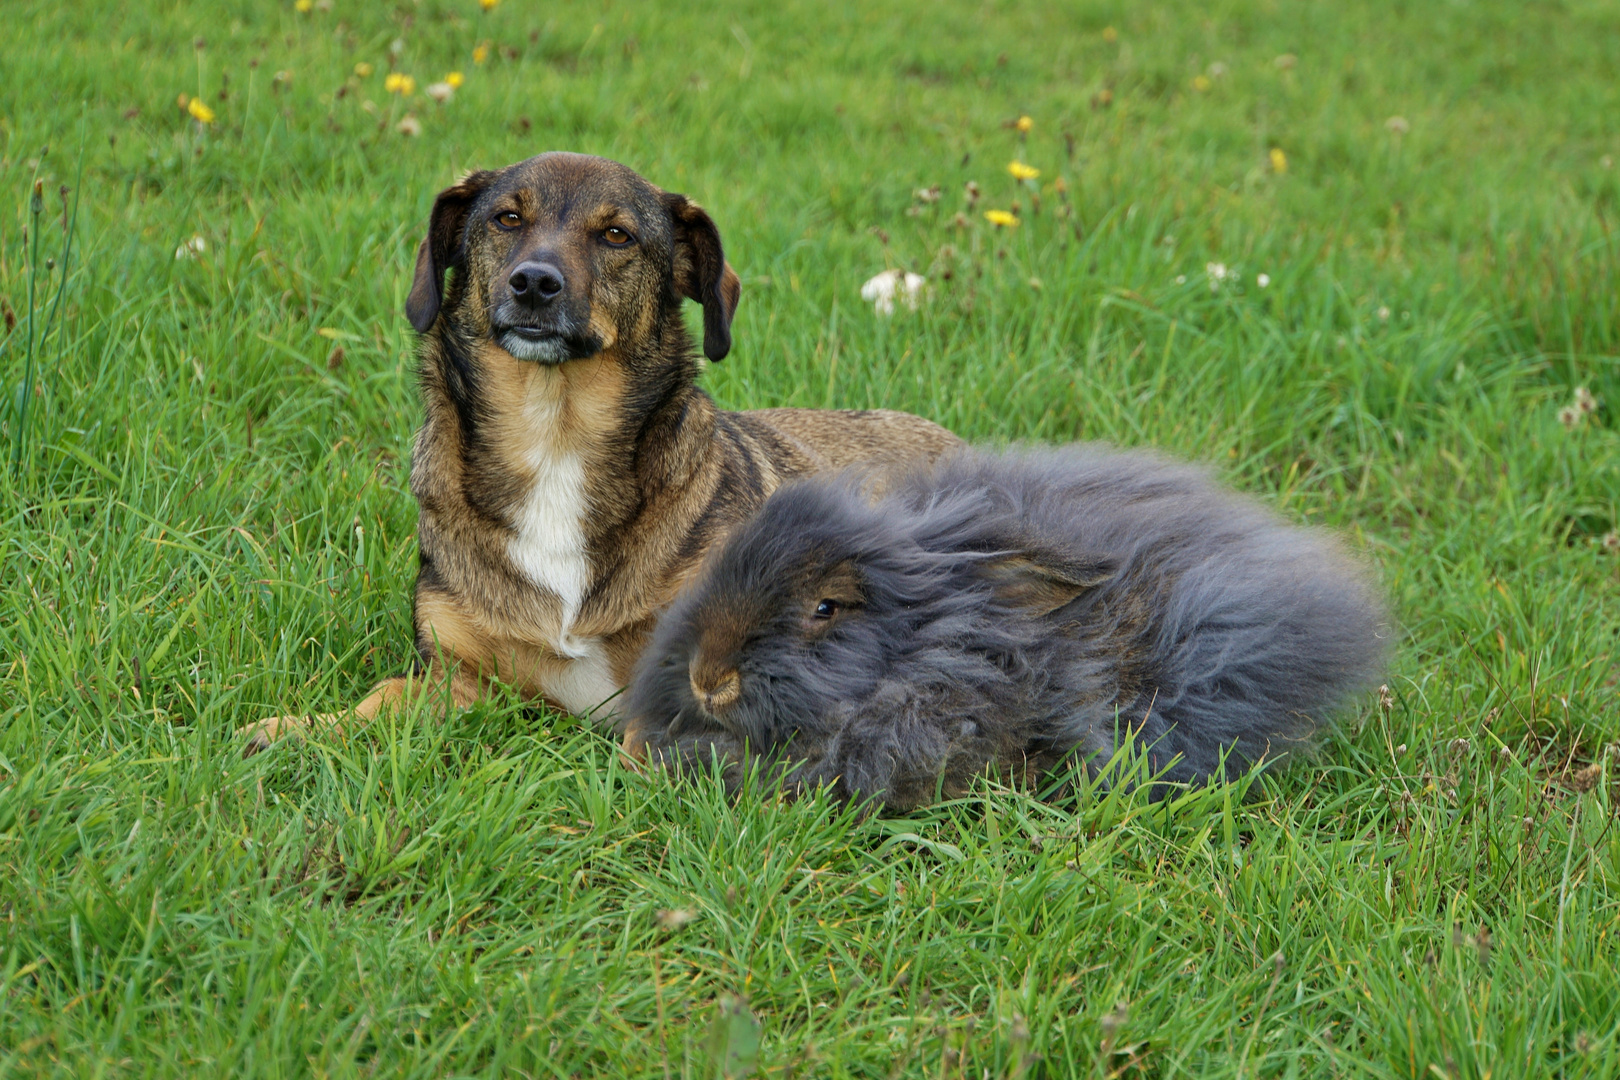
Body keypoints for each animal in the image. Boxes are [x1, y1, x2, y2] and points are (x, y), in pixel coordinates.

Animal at [243, 153, 959, 751]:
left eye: (617, 235)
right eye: (507, 218)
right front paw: (295, 729)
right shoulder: (459, 680)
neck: (556, 437)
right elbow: (379, 700)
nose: (534, 283)